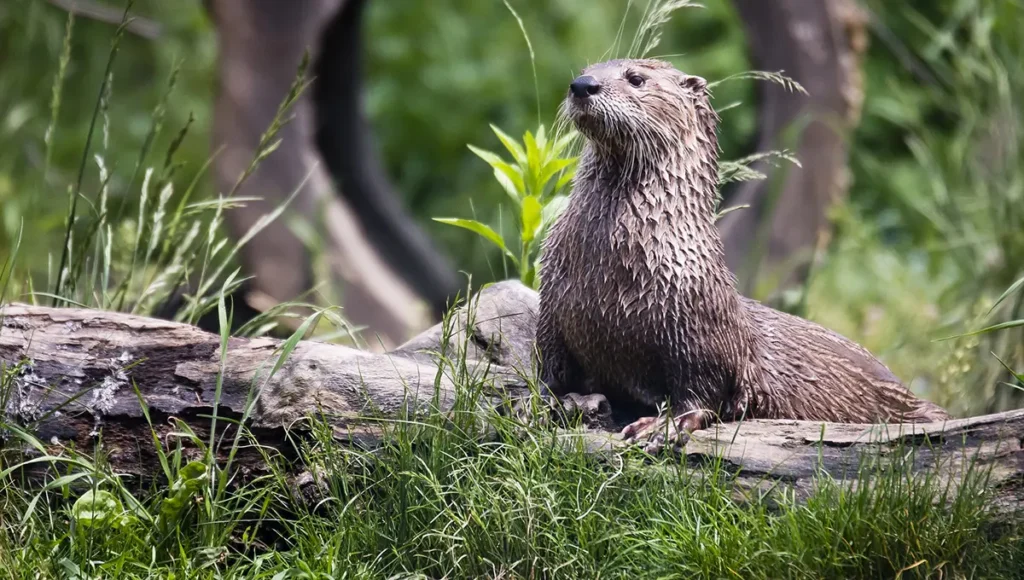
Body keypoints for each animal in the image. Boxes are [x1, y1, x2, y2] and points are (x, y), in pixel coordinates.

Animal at [536, 58, 950, 451]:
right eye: (585, 70)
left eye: (636, 78)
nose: (583, 85)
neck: (611, 271)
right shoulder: (552, 307)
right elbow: (550, 369)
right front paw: (544, 403)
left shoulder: (700, 329)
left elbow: (703, 391)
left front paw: (662, 426)